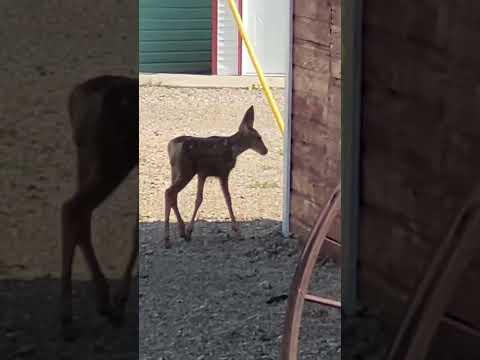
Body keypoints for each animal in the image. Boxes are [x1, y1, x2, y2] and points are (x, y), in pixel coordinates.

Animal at [60, 74, 139, 338]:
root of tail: (76, 98)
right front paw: (121, 301)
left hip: (86, 156)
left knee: (82, 215)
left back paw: (102, 300)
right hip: (113, 158)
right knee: (72, 208)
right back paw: (68, 318)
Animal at [164, 105, 268, 249]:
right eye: (258, 137)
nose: (265, 151)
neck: (233, 149)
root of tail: (171, 146)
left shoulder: (202, 173)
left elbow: (198, 199)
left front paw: (190, 231)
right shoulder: (223, 172)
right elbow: (228, 199)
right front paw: (237, 232)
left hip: (175, 171)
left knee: (172, 195)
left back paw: (181, 231)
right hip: (186, 170)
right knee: (169, 192)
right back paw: (168, 238)